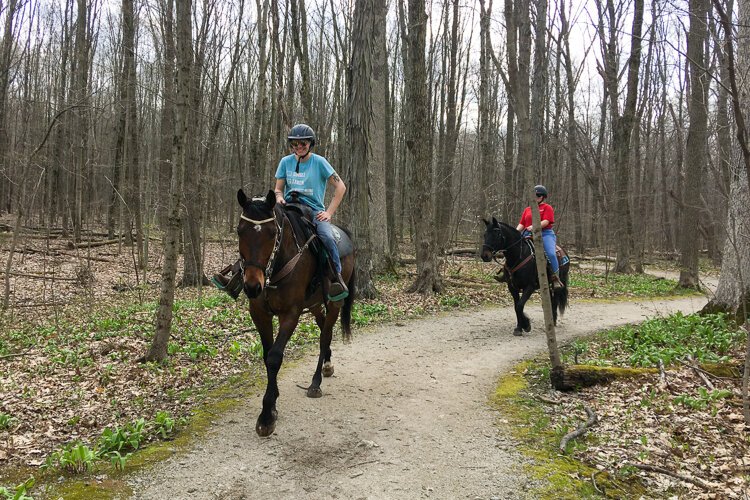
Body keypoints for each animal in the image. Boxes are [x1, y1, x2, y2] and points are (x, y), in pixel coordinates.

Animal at [241, 189, 358, 436]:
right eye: (239, 230)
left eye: (271, 233)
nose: (252, 286)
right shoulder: (259, 313)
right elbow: (266, 355)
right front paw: (273, 403)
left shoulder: (291, 313)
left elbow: (274, 357)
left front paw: (267, 414)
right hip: (314, 304)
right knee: (323, 327)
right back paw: (327, 365)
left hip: (334, 302)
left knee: (325, 336)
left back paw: (315, 383)